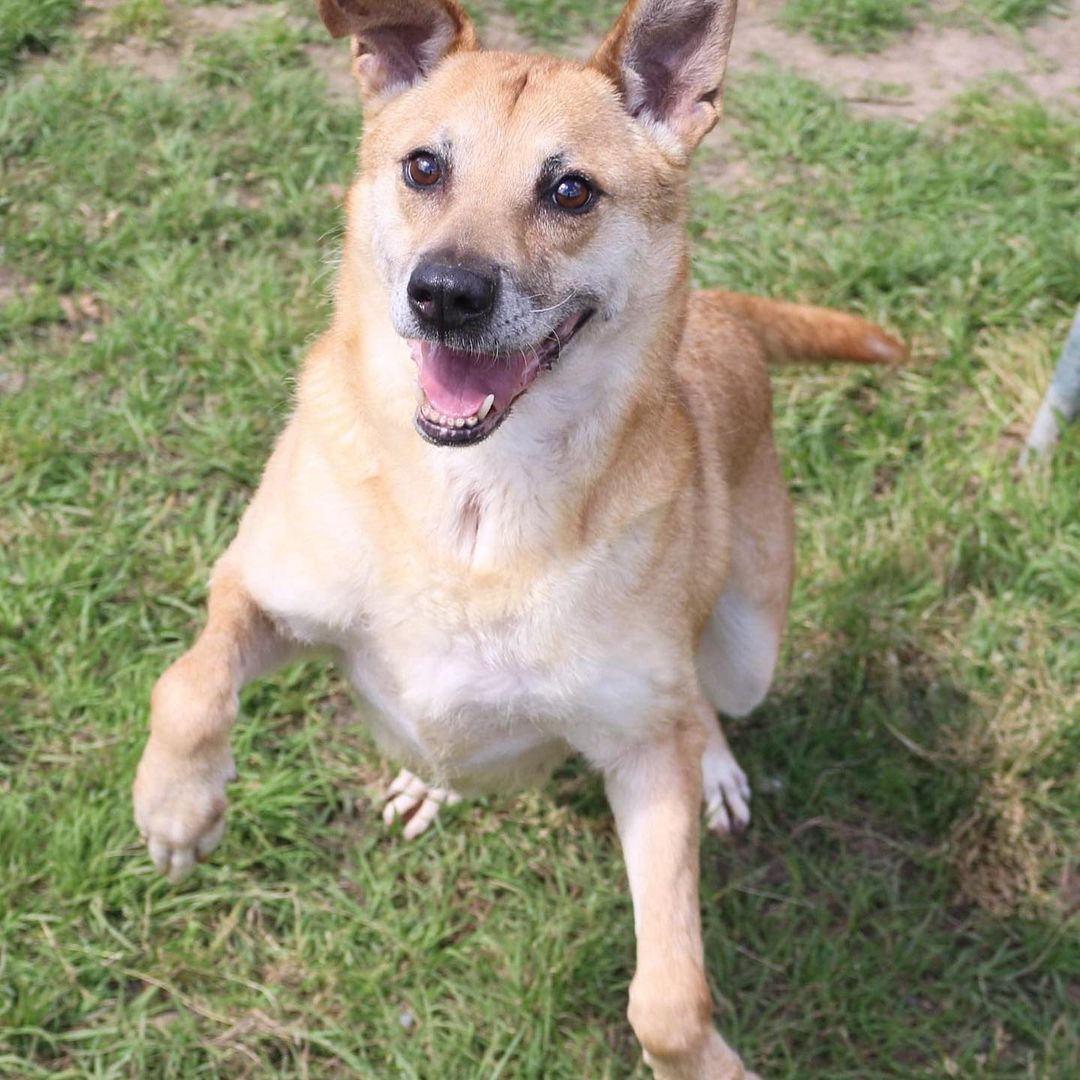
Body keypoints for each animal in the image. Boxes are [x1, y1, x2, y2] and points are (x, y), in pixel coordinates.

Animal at [130, 4, 902, 1075]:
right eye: (423, 167)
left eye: (570, 189)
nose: (445, 293)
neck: (473, 507)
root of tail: (725, 317)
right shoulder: (264, 590)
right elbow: (188, 681)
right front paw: (176, 806)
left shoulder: (641, 755)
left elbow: (669, 997)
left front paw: (706, 1058)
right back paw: (426, 783)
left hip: (750, 641)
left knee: (709, 699)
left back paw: (715, 765)